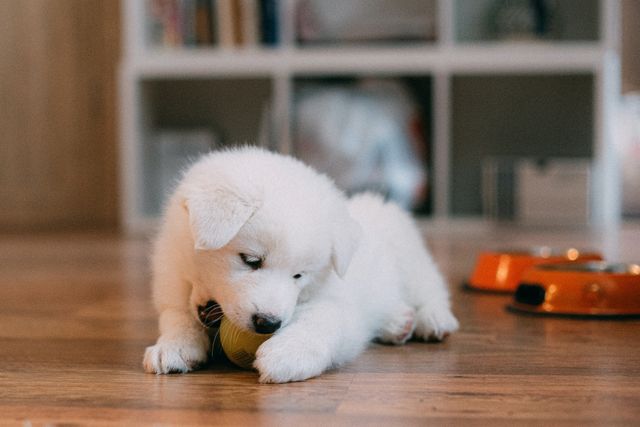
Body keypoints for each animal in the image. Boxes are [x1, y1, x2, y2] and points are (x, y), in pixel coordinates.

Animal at [142, 147, 458, 384]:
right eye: (251, 260)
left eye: (299, 275)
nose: (268, 323)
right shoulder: (172, 288)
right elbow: (177, 319)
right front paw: (172, 347)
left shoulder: (336, 304)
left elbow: (320, 322)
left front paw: (287, 354)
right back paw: (397, 322)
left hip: (409, 258)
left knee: (431, 288)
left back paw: (432, 319)